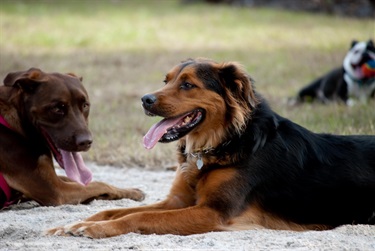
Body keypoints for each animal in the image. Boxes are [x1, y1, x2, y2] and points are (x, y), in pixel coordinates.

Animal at [0, 67, 145, 207]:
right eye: (57, 109)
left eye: (85, 105)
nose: (86, 142)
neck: (15, 125)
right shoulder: (57, 190)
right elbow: (98, 184)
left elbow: (82, 181)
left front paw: (129, 191)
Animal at [45, 58, 374, 237]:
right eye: (166, 80)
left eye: (188, 85)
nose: (145, 100)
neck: (218, 144)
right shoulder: (178, 201)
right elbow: (113, 210)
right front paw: (74, 224)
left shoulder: (213, 213)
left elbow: (137, 217)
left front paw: (95, 230)